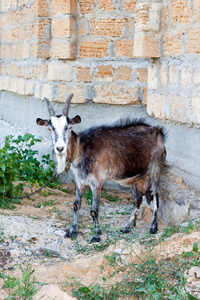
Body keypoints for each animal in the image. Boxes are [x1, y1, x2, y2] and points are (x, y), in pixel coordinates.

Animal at [36, 95, 168, 243]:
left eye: (69, 127)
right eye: (50, 129)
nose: (60, 148)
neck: (82, 149)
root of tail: (158, 132)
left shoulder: (96, 182)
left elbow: (94, 210)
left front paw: (96, 235)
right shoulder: (80, 181)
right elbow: (76, 205)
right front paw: (72, 231)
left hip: (155, 168)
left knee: (155, 195)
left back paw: (153, 227)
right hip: (136, 177)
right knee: (137, 199)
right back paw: (128, 226)